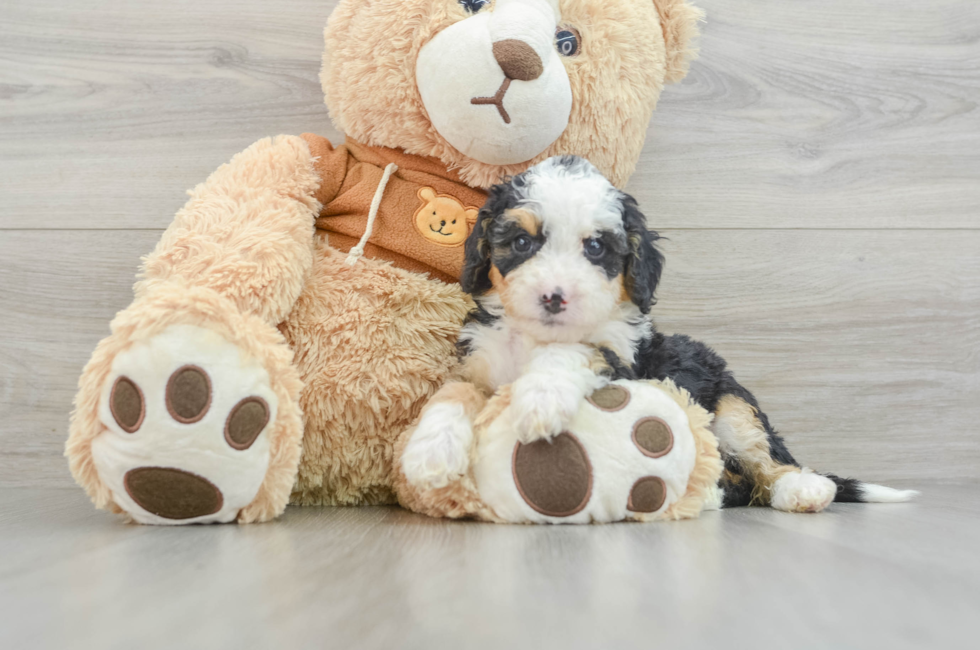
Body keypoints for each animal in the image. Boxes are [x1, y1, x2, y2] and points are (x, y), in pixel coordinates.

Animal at [400, 157, 920, 512]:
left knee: (769, 461)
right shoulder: (478, 364)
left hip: (732, 406)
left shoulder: (622, 363)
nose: (554, 297)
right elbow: (451, 394)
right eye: (522, 242)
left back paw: (803, 488)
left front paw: (539, 400)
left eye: (596, 248)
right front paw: (429, 452)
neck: (535, 338)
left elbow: (574, 350)